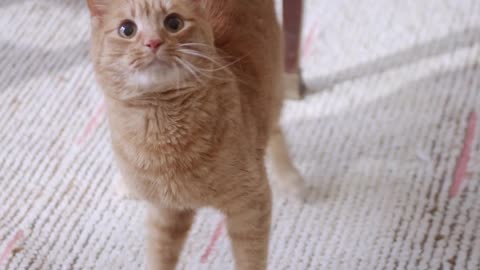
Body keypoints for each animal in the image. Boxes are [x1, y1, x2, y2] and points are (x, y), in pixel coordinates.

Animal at [86, 1, 304, 268]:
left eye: (173, 23)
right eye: (127, 29)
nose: (153, 42)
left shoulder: (251, 205)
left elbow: (250, 259)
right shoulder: (167, 213)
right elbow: (159, 257)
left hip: (272, 88)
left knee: (274, 130)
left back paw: (290, 177)